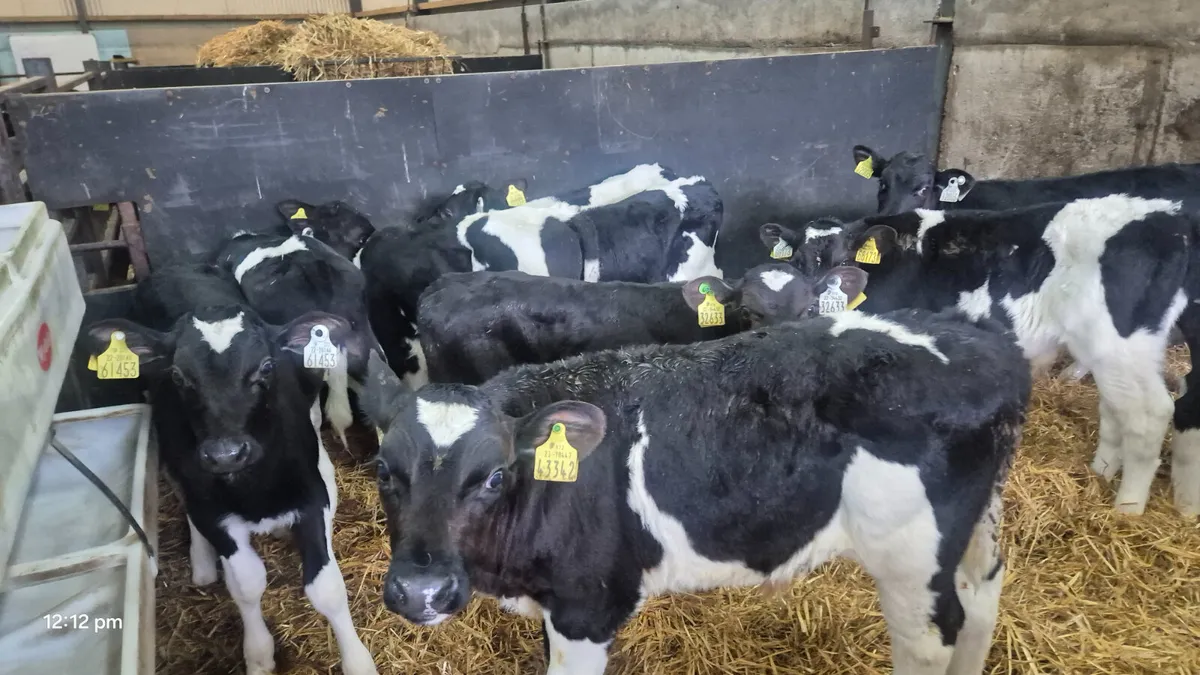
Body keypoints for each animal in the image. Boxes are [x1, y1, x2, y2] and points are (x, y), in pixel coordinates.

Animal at [83, 264, 377, 675]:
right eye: (178, 375)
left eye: (266, 367)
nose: (226, 454)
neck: (256, 490)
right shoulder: (214, 513)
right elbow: (247, 584)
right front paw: (258, 653)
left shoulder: (309, 499)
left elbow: (327, 588)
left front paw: (358, 661)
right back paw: (203, 561)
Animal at [363, 304, 1030, 675]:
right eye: (381, 470)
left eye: (495, 476)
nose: (421, 591)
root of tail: (987, 342)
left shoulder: (588, 606)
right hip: (976, 524)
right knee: (981, 596)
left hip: (909, 554)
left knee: (933, 635)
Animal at [771, 195, 1200, 516]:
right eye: (796, 261)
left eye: (846, 259)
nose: (810, 304)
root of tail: (1173, 218)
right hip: (1110, 351)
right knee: (1117, 409)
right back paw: (1101, 473)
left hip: (1122, 345)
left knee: (1151, 413)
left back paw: (1128, 507)